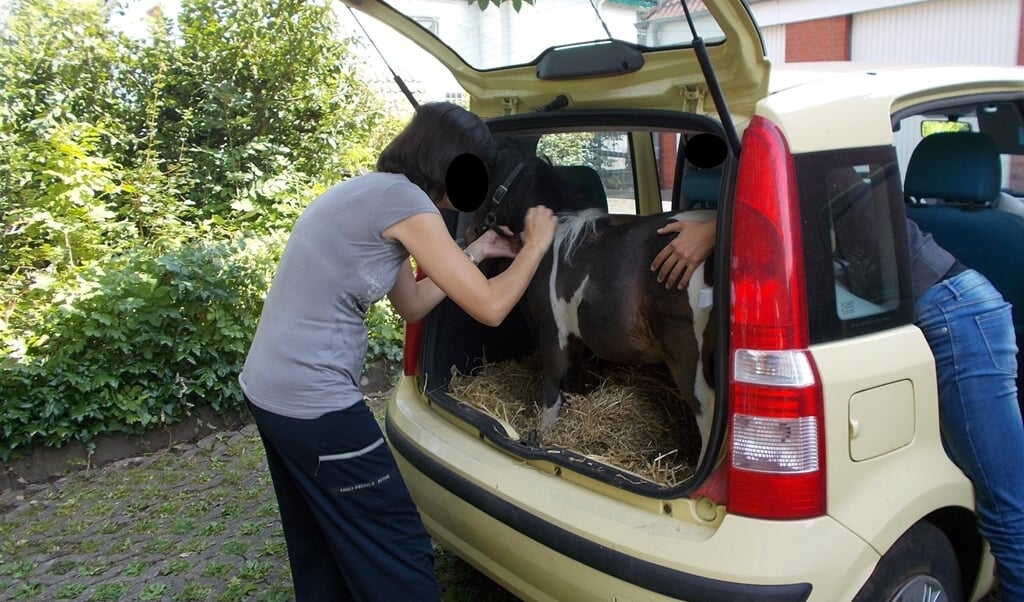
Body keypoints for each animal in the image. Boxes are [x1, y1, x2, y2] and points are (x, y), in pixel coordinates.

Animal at [468, 139, 716, 460]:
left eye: (487, 181)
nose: (471, 230)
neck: (553, 240)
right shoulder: (573, 336)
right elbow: (573, 377)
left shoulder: (553, 333)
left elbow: (552, 385)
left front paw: (543, 434)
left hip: (688, 359)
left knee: (708, 416)